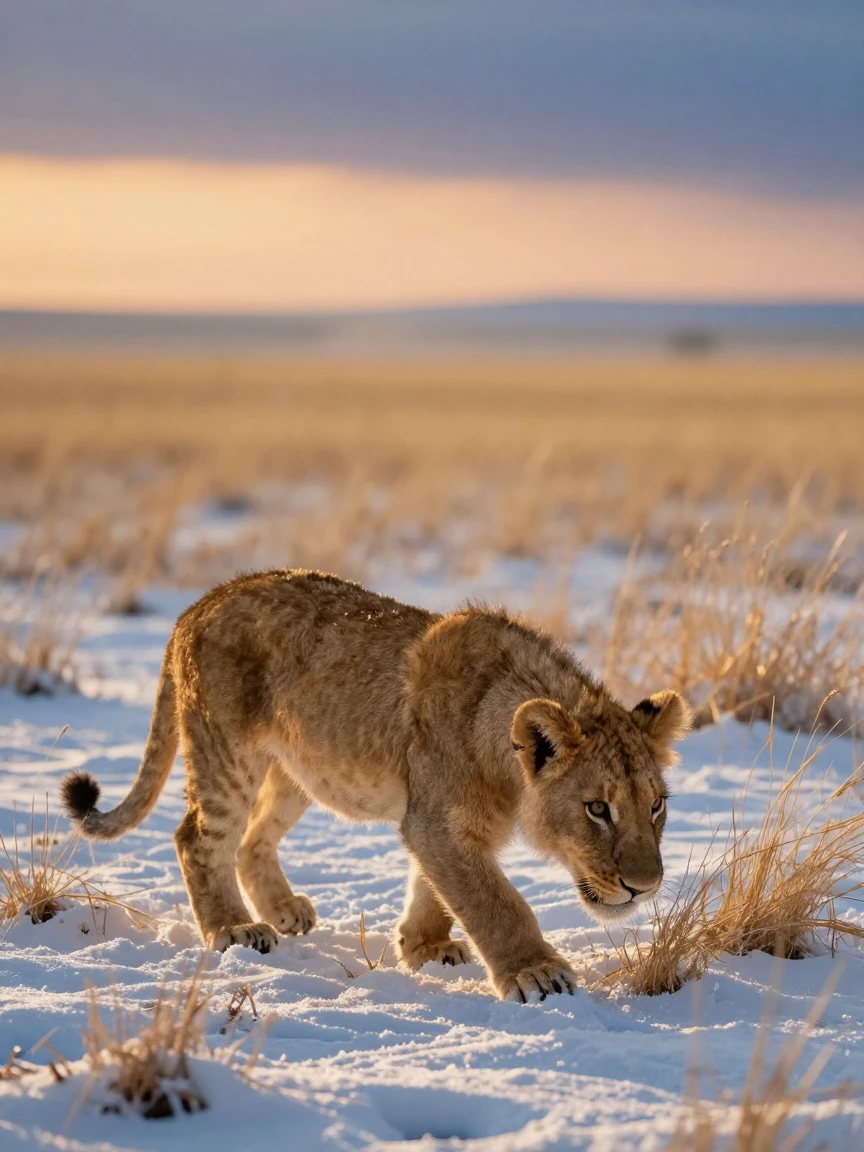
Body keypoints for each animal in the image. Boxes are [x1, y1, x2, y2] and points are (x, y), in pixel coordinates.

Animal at [61, 570, 690, 1001]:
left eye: (656, 806)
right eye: (597, 809)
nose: (645, 887)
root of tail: (197, 604)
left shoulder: (436, 822)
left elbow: (438, 886)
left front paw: (424, 947)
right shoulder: (437, 820)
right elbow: (494, 900)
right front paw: (535, 971)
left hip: (298, 768)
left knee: (251, 837)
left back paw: (284, 910)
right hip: (226, 753)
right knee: (197, 837)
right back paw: (235, 928)